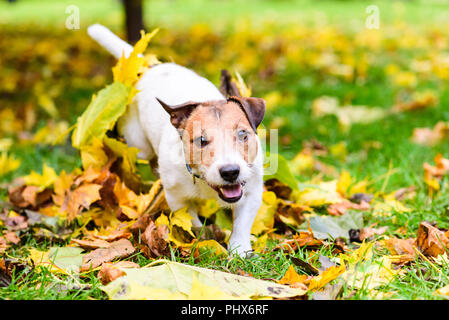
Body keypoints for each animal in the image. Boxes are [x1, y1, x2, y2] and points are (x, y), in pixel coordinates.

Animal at [86, 23, 266, 256]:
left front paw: (240, 250)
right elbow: (191, 220)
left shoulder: (252, 190)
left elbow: (242, 224)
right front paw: (204, 239)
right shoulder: (177, 197)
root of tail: (151, 67)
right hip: (138, 144)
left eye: (243, 135)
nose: (230, 172)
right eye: (201, 140)